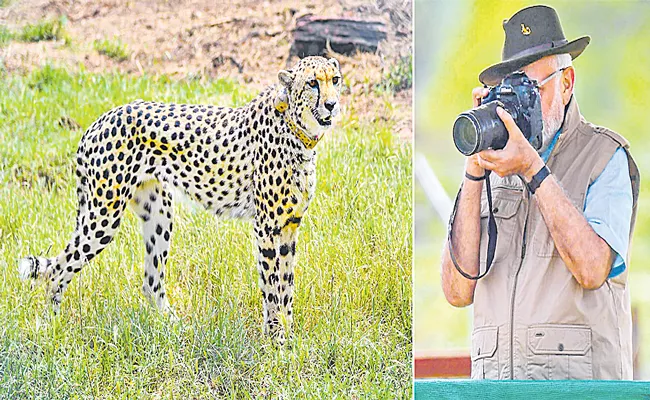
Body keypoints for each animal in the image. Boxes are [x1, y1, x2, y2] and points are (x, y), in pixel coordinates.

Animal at [17, 54, 342, 340]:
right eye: (313, 83)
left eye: (335, 80)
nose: (331, 104)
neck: (296, 128)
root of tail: (101, 120)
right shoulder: (266, 227)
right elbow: (272, 288)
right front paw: (276, 341)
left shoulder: (289, 226)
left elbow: (287, 287)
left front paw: (290, 336)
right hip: (103, 216)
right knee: (58, 268)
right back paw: (51, 327)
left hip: (158, 215)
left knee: (150, 282)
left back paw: (173, 327)